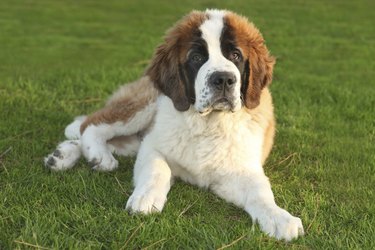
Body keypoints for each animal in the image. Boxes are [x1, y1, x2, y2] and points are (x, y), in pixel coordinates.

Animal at [45, 9, 306, 240]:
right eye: (197, 58)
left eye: (235, 56)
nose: (223, 79)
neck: (208, 123)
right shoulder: (152, 145)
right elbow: (159, 169)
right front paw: (146, 198)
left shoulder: (239, 171)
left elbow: (260, 192)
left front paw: (279, 218)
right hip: (144, 105)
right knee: (91, 124)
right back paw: (98, 156)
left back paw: (62, 155)